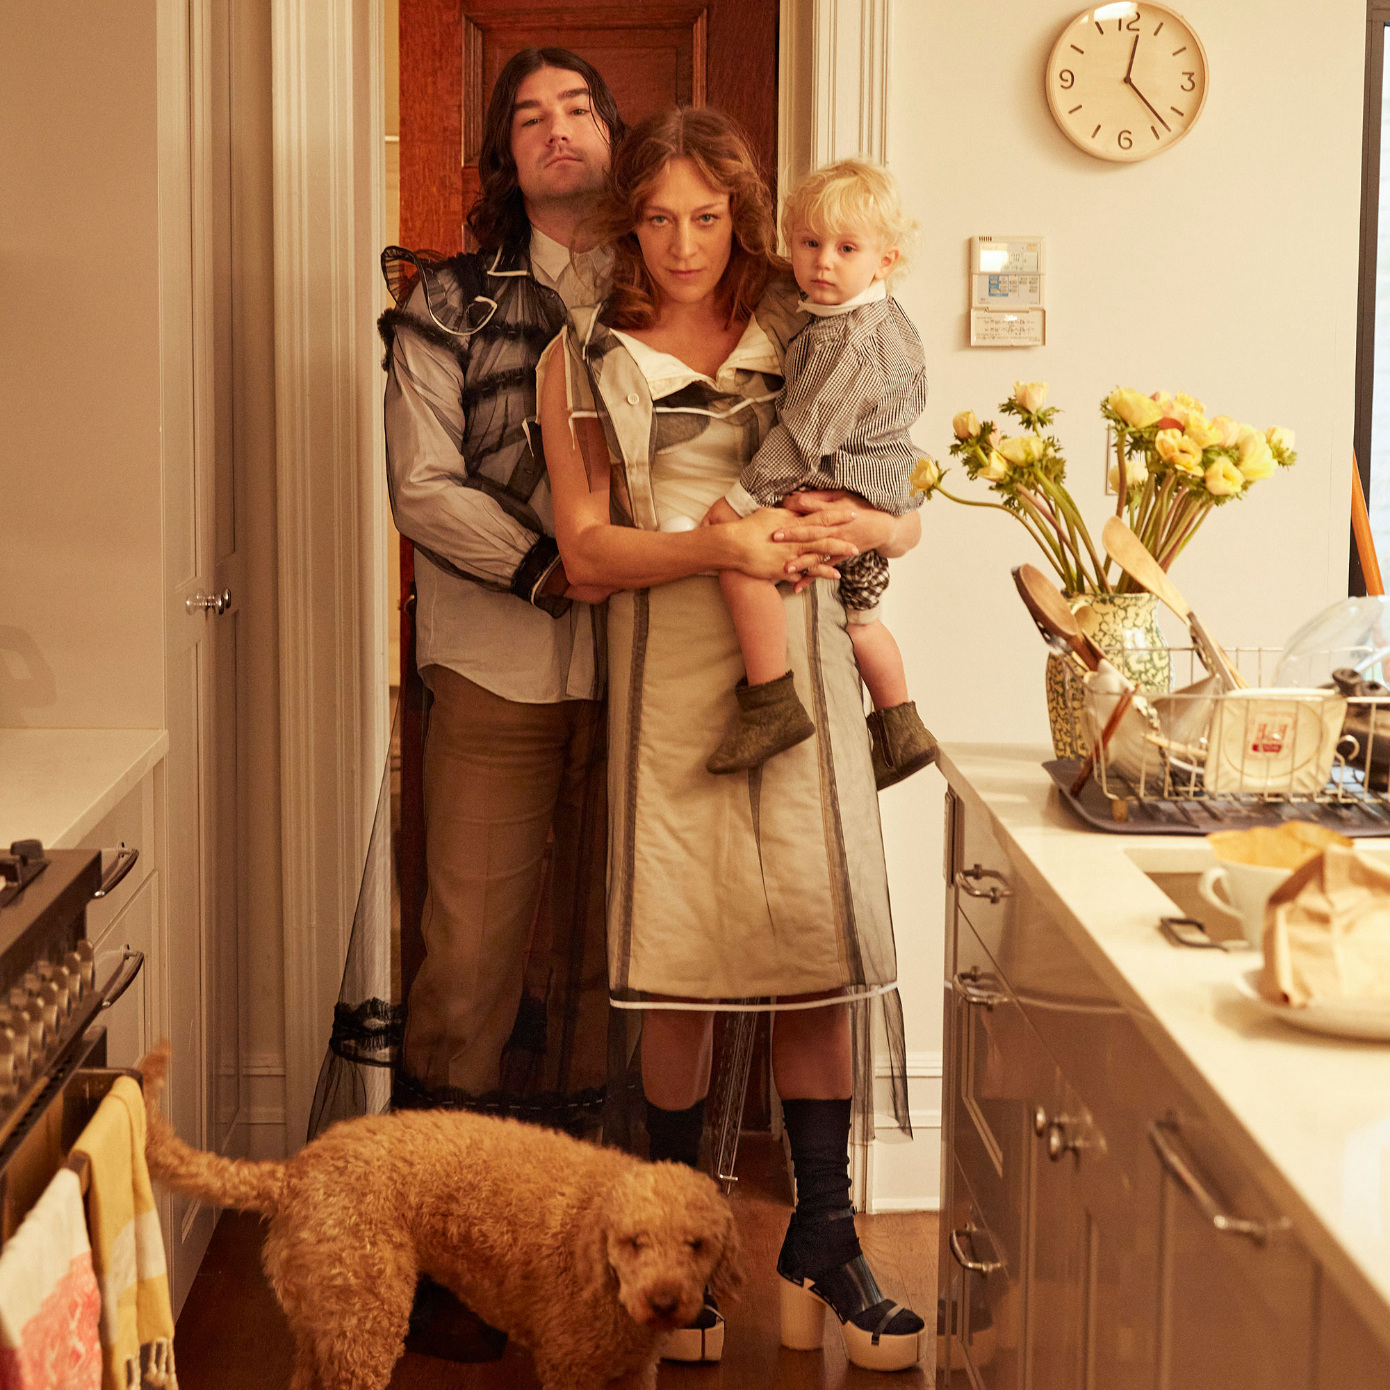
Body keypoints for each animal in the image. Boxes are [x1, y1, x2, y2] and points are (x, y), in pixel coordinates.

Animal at [139, 1045, 739, 1384]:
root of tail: (295, 1172)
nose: (666, 1303)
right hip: (366, 1320)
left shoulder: (634, 1374)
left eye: (698, 1245)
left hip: (325, 1320)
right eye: (633, 1241)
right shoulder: (570, 1368)